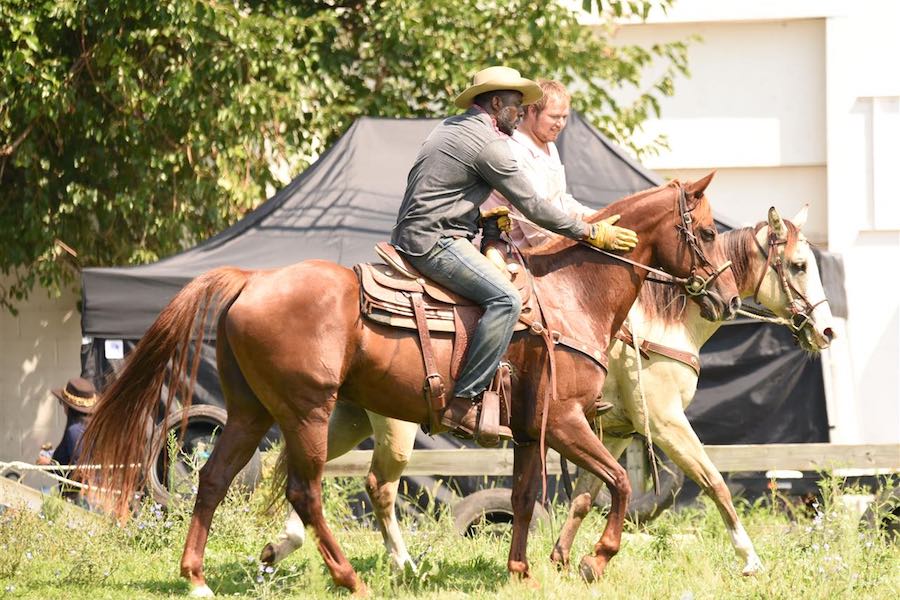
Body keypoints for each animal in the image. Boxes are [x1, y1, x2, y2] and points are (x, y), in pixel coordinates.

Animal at [75, 173, 740, 596]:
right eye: (708, 233)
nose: (729, 300)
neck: (569, 295)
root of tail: (250, 280)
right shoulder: (568, 421)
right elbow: (621, 483)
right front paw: (596, 562)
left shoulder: (532, 432)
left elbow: (527, 496)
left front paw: (521, 570)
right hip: (307, 412)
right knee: (306, 492)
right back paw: (350, 579)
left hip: (250, 414)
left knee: (214, 480)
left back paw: (198, 579)